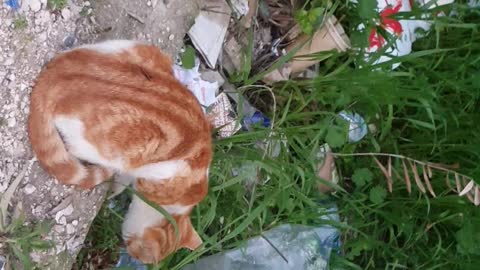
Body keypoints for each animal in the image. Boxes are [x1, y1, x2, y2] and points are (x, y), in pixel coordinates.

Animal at [27, 40, 212, 264]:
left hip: (137, 49)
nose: (131, 254)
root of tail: (56, 76)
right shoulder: (154, 175)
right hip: (124, 149)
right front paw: (117, 189)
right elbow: (128, 180)